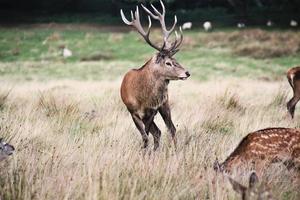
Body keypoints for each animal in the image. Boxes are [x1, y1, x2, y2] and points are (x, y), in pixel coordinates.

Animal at [119, 0, 190, 150]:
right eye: (168, 63)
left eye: (176, 60)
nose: (187, 72)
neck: (142, 97)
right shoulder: (133, 111)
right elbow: (146, 136)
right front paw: (145, 151)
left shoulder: (152, 111)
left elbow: (149, 134)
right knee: (159, 132)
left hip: (165, 104)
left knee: (170, 128)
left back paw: (174, 150)